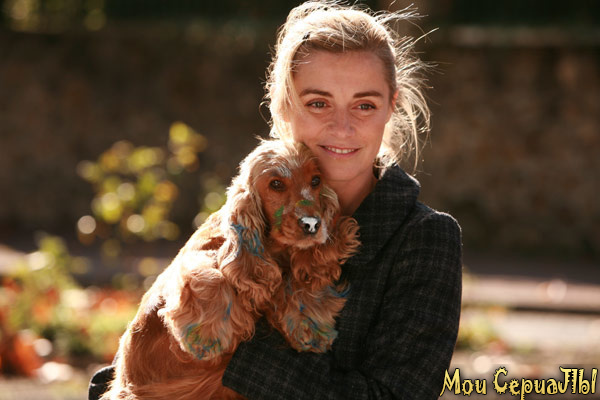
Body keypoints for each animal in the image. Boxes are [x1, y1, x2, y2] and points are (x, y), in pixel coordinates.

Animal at [101, 139, 360, 400]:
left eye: (316, 180)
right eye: (276, 184)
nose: (312, 225)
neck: (274, 250)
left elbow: (297, 282)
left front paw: (311, 327)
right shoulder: (192, 259)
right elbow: (210, 275)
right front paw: (206, 336)